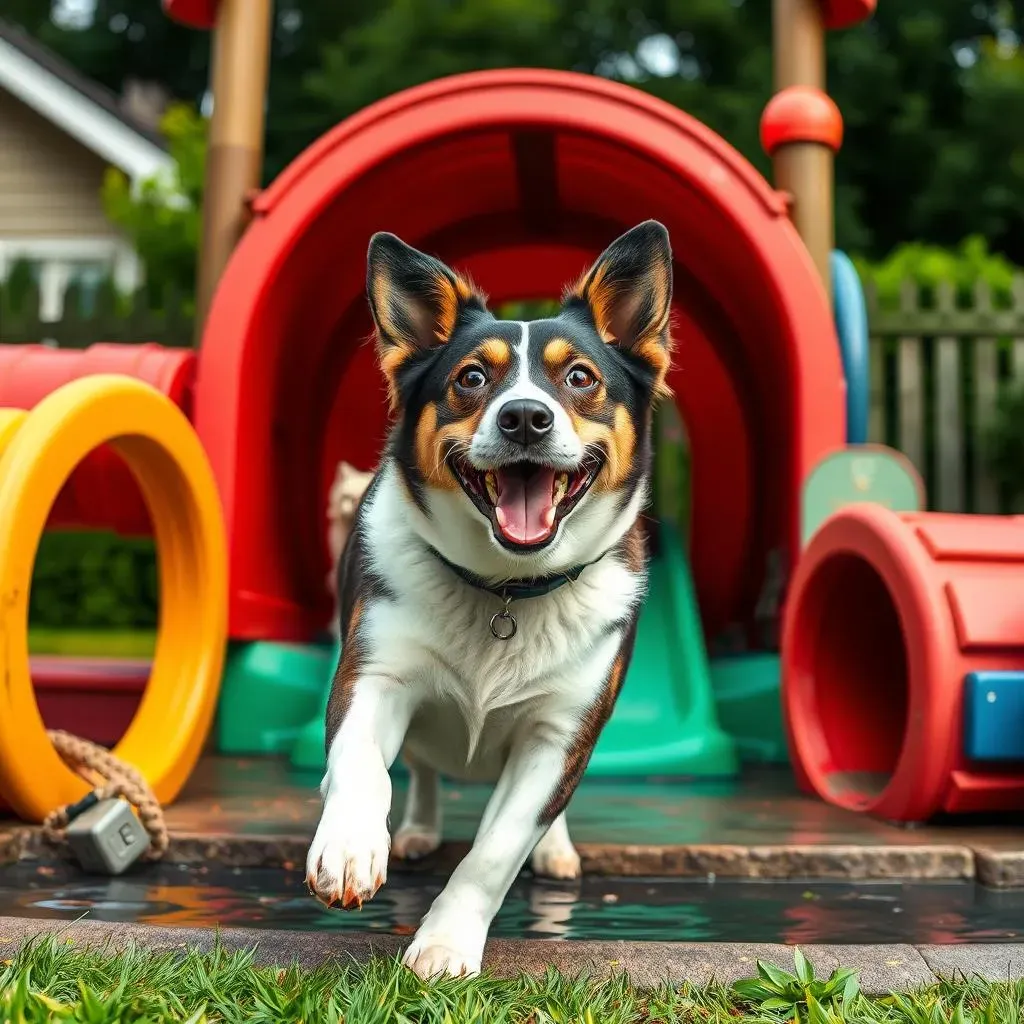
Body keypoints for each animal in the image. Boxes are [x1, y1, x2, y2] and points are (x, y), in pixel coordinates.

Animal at [303, 220, 671, 978]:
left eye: (580, 377)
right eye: (471, 377)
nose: (525, 417)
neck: (506, 588)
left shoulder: (562, 734)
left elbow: (495, 851)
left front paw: (446, 943)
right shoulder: (372, 674)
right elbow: (359, 767)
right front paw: (351, 846)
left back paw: (555, 850)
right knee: (420, 771)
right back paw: (415, 828)